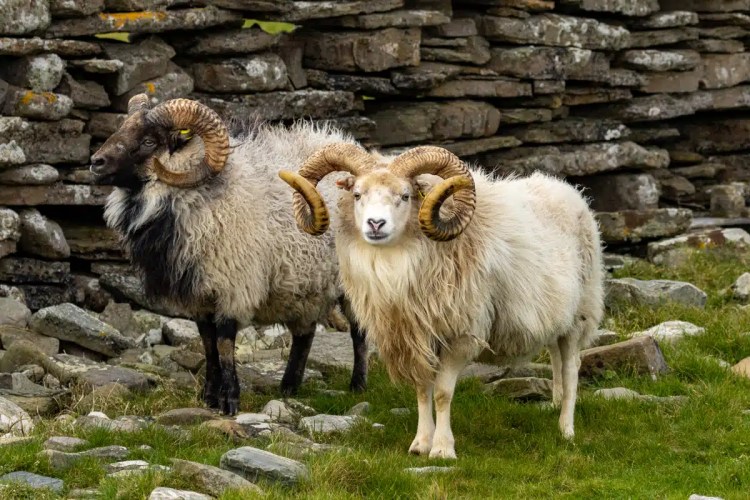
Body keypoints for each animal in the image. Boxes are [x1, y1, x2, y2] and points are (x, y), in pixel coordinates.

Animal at [89, 94, 371, 415]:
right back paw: (289, 387)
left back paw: (357, 385)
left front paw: (230, 401)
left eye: (149, 141)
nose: (95, 162)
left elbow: (224, 343)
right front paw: (209, 397)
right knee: (305, 332)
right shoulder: (199, 297)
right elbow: (208, 344)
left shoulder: (232, 286)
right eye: (122, 127)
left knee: (359, 331)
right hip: (305, 283)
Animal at [279, 143, 605, 458]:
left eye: (405, 195)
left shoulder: (461, 334)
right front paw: (420, 443)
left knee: (571, 367)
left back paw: (566, 429)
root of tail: (567, 189)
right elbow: (423, 390)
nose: (375, 224)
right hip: (557, 316)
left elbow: (442, 393)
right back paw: (555, 403)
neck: (398, 262)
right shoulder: (415, 335)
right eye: (357, 194)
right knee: (556, 356)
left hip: (581, 312)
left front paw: (442, 449)